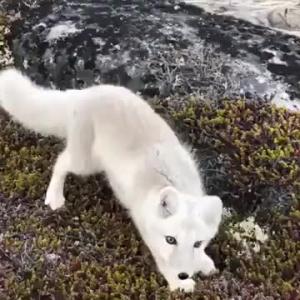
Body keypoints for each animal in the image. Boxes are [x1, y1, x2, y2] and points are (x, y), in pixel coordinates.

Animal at [0, 68, 221, 292]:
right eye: (170, 239)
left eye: (197, 243)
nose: (183, 274)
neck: (173, 181)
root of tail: (85, 93)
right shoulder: (145, 226)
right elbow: (161, 258)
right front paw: (178, 284)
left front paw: (203, 262)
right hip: (85, 163)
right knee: (60, 162)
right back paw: (54, 197)